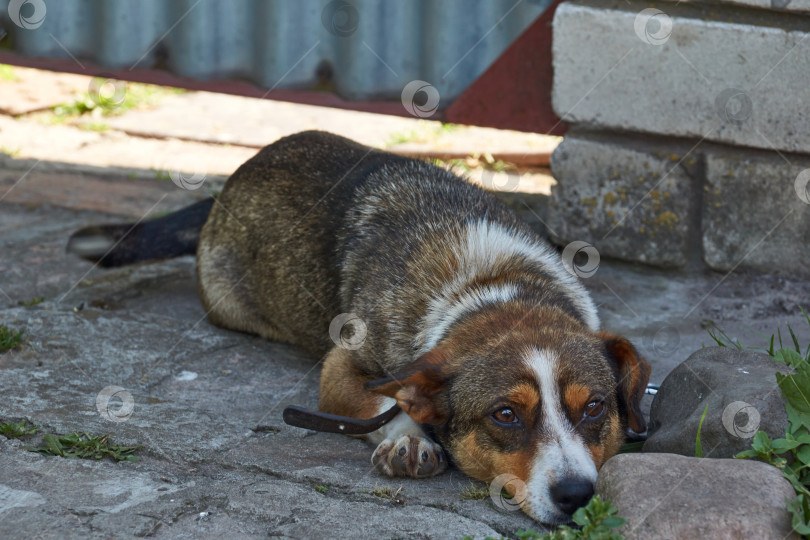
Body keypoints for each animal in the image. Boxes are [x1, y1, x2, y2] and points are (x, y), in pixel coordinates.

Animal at [69, 130, 652, 524]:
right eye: (505, 415)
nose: (576, 495)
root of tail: (229, 183)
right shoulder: (341, 367)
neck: (495, 286)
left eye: (595, 407)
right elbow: (383, 400)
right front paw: (408, 437)